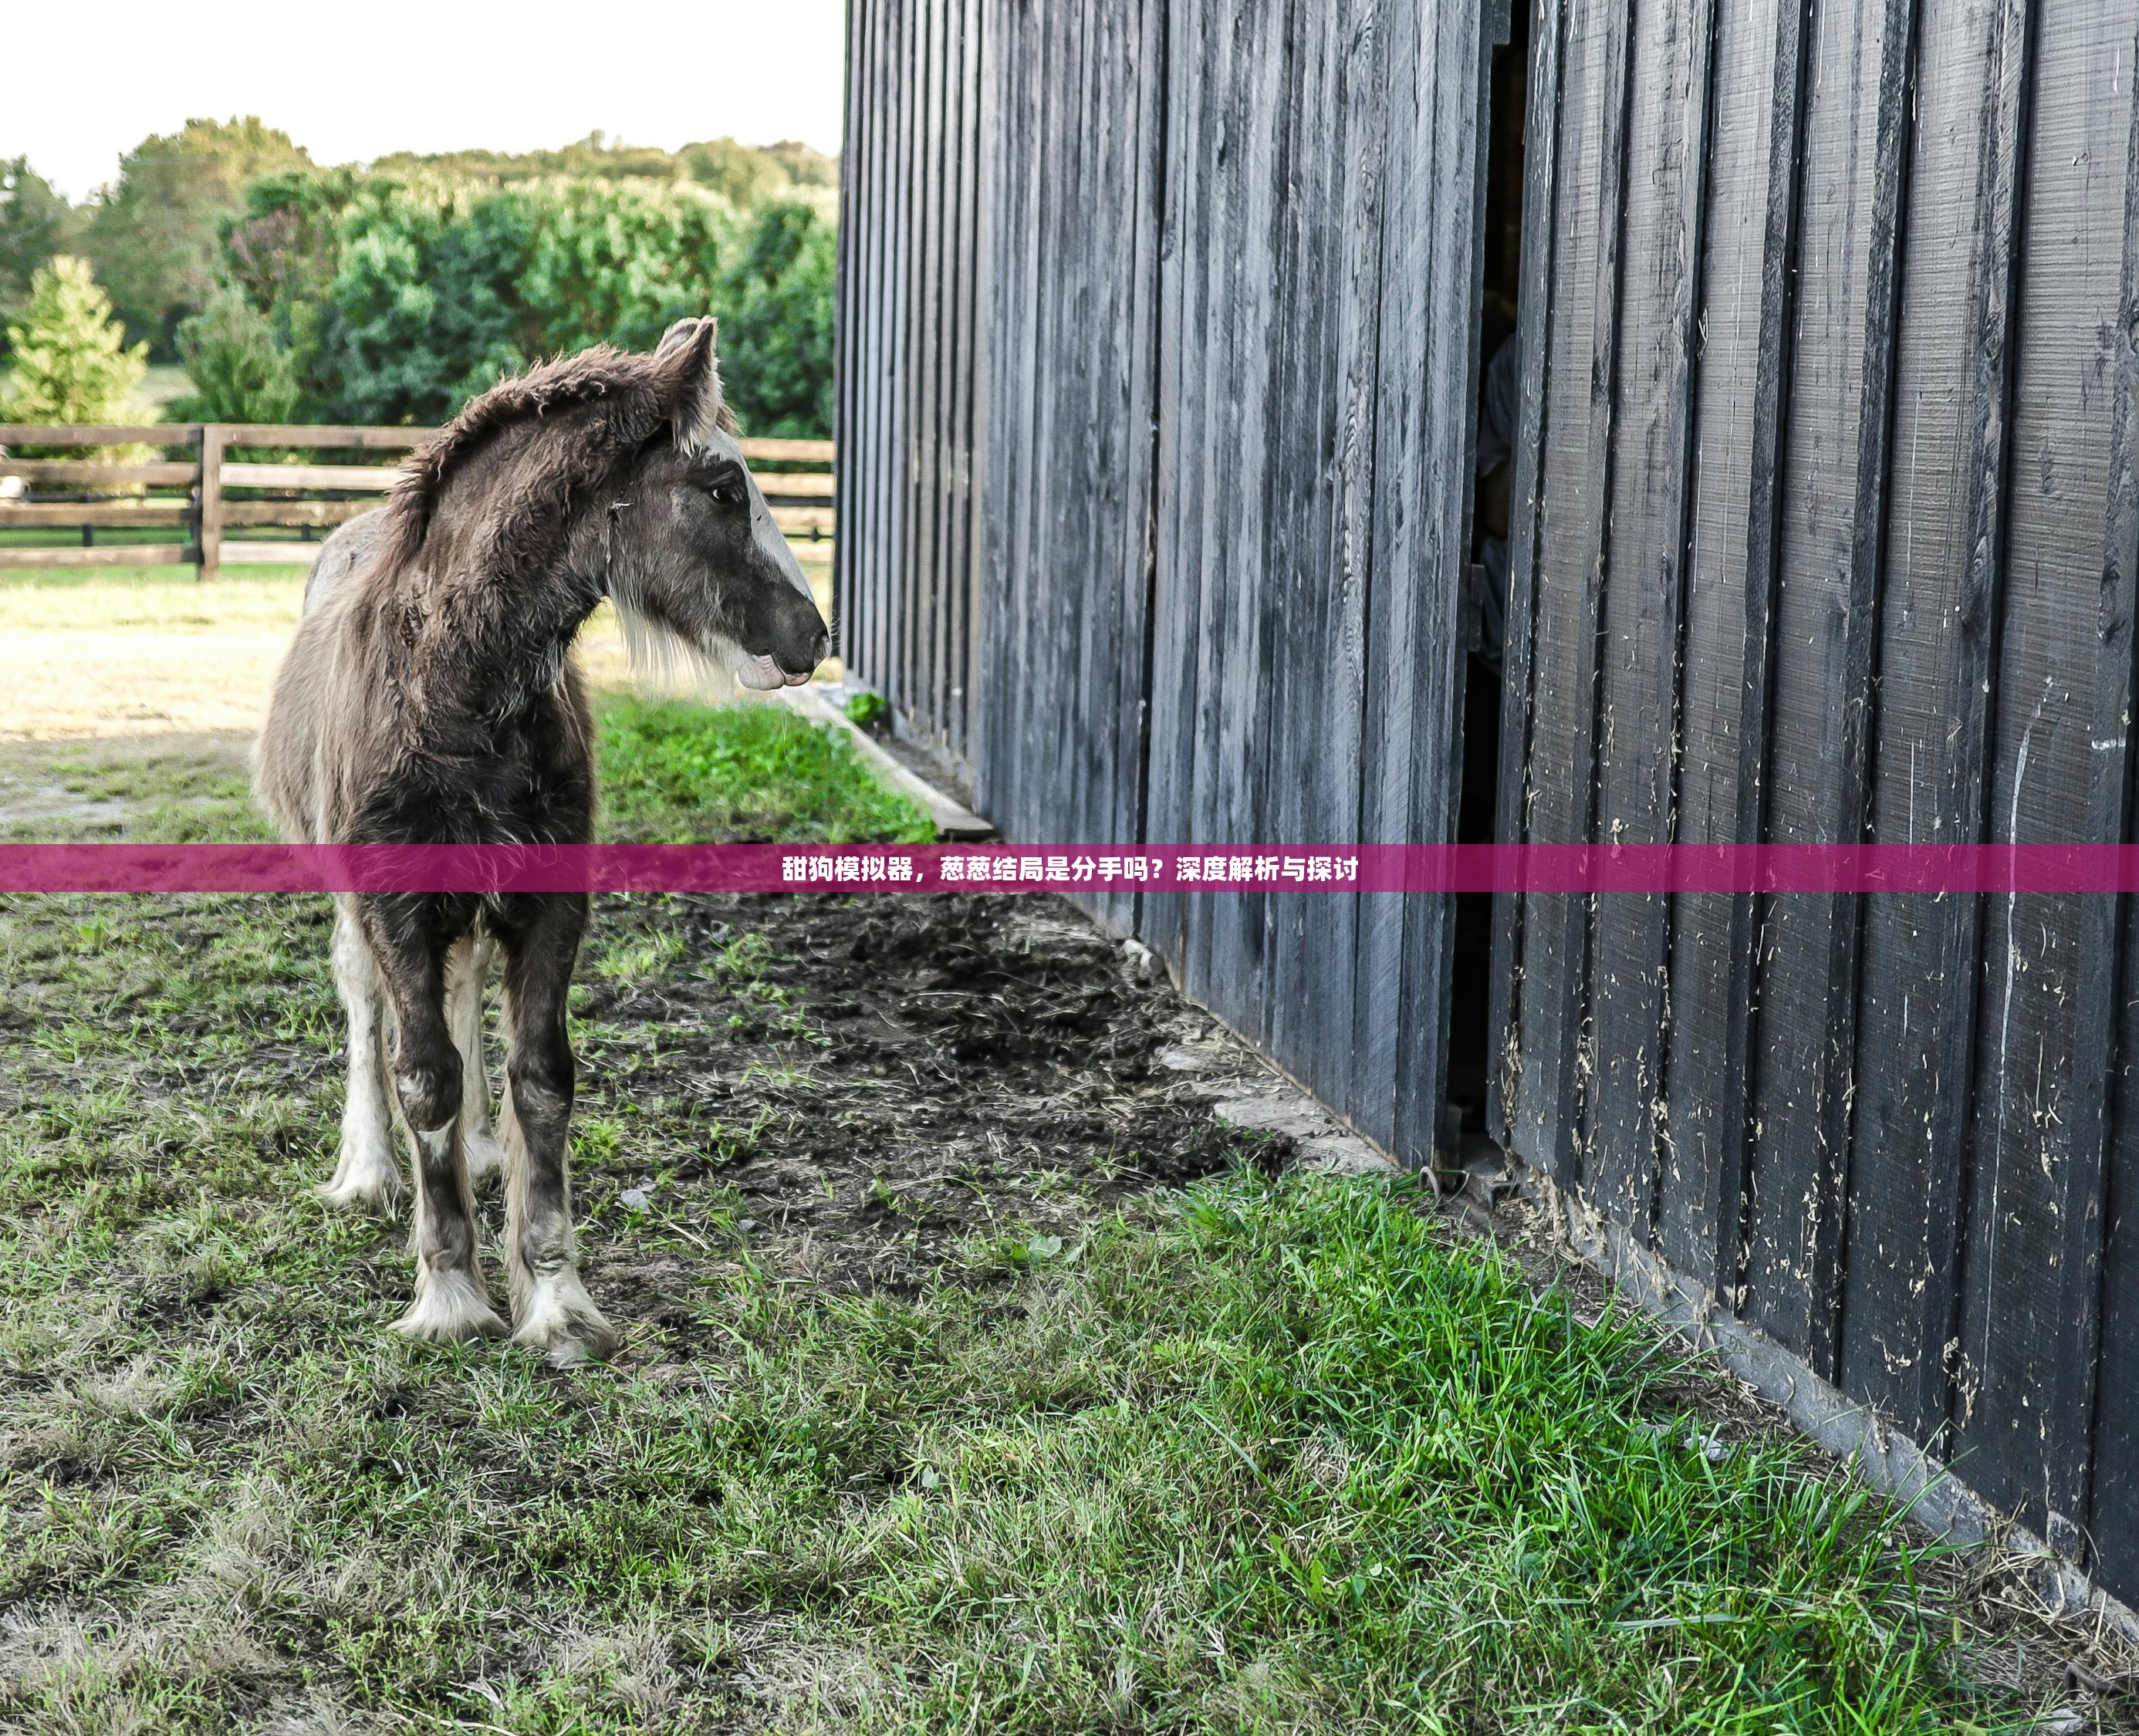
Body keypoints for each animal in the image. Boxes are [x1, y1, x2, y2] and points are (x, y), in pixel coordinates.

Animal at [256, 318, 825, 1359]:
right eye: (723, 490)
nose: (813, 635)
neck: (453, 690)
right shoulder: (396, 905)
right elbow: (423, 1075)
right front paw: (449, 1294)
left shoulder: (550, 902)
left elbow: (541, 1078)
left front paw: (556, 1298)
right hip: (354, 902)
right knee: (366, 1004)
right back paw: (368, 1170)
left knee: (466, 988)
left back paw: (483, 1152)